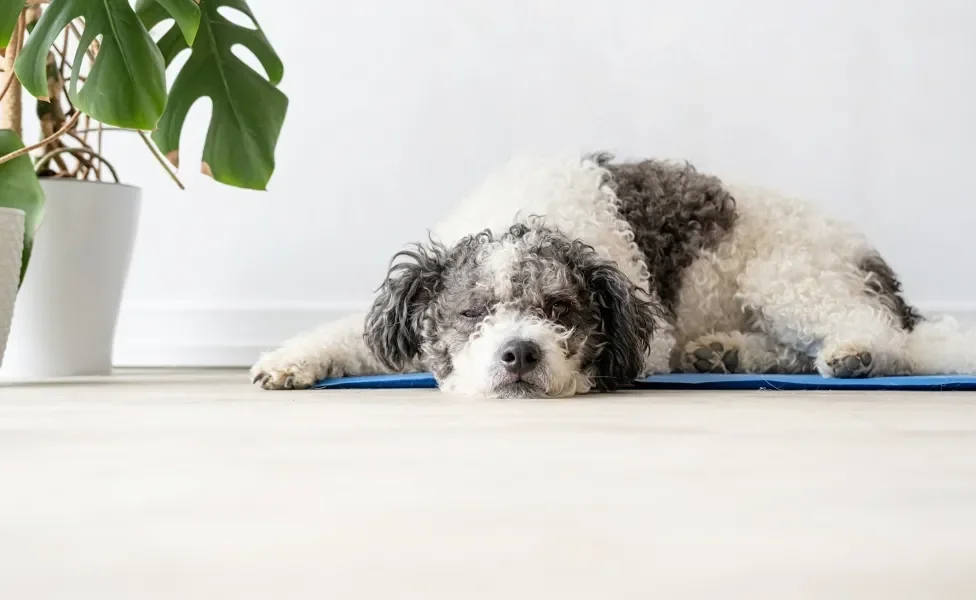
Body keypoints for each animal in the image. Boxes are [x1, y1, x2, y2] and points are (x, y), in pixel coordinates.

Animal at [250, 152, 976, 396]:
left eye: (560, 311)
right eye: (474, 314)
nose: (520, 353)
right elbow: (353, 334)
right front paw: (291, 360)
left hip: (789, 275)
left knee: (879, 333)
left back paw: (856, 354)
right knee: (790, 351)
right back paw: (722, 353)